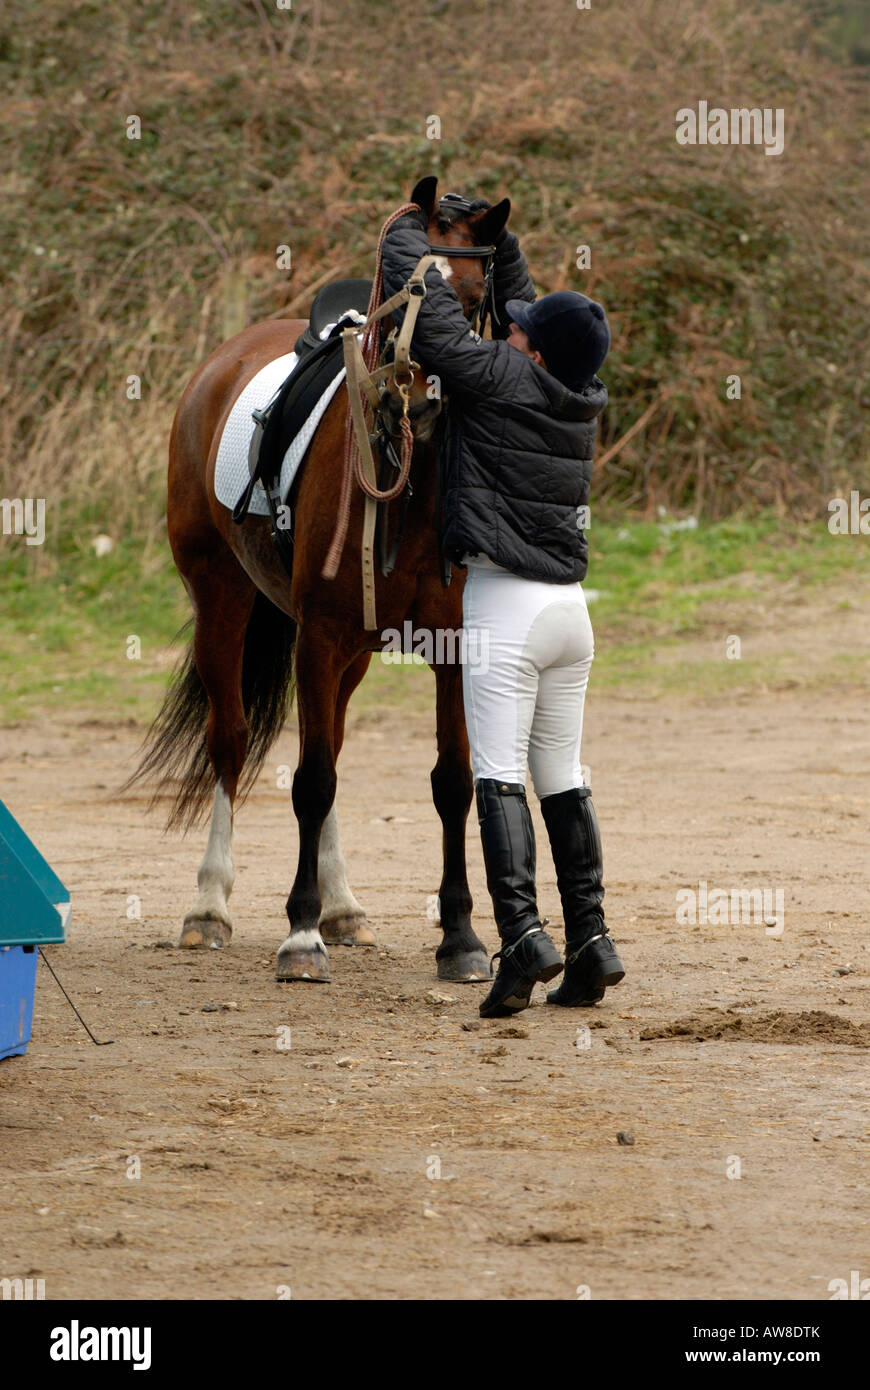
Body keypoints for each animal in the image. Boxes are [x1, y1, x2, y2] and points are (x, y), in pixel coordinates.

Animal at [131, 177, 512, 985]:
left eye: (468, 302)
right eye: (397, 295)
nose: (417, 400)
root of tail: (227, 356)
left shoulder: (455, 649)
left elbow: (450, 782)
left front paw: (461, 937)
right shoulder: (319, 637)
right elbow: (310, 780)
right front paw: (300, 936)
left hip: (351, 652)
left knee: (328, 743)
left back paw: (342, 907)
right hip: (223, 601)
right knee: (233, 741)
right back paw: (210, 907)